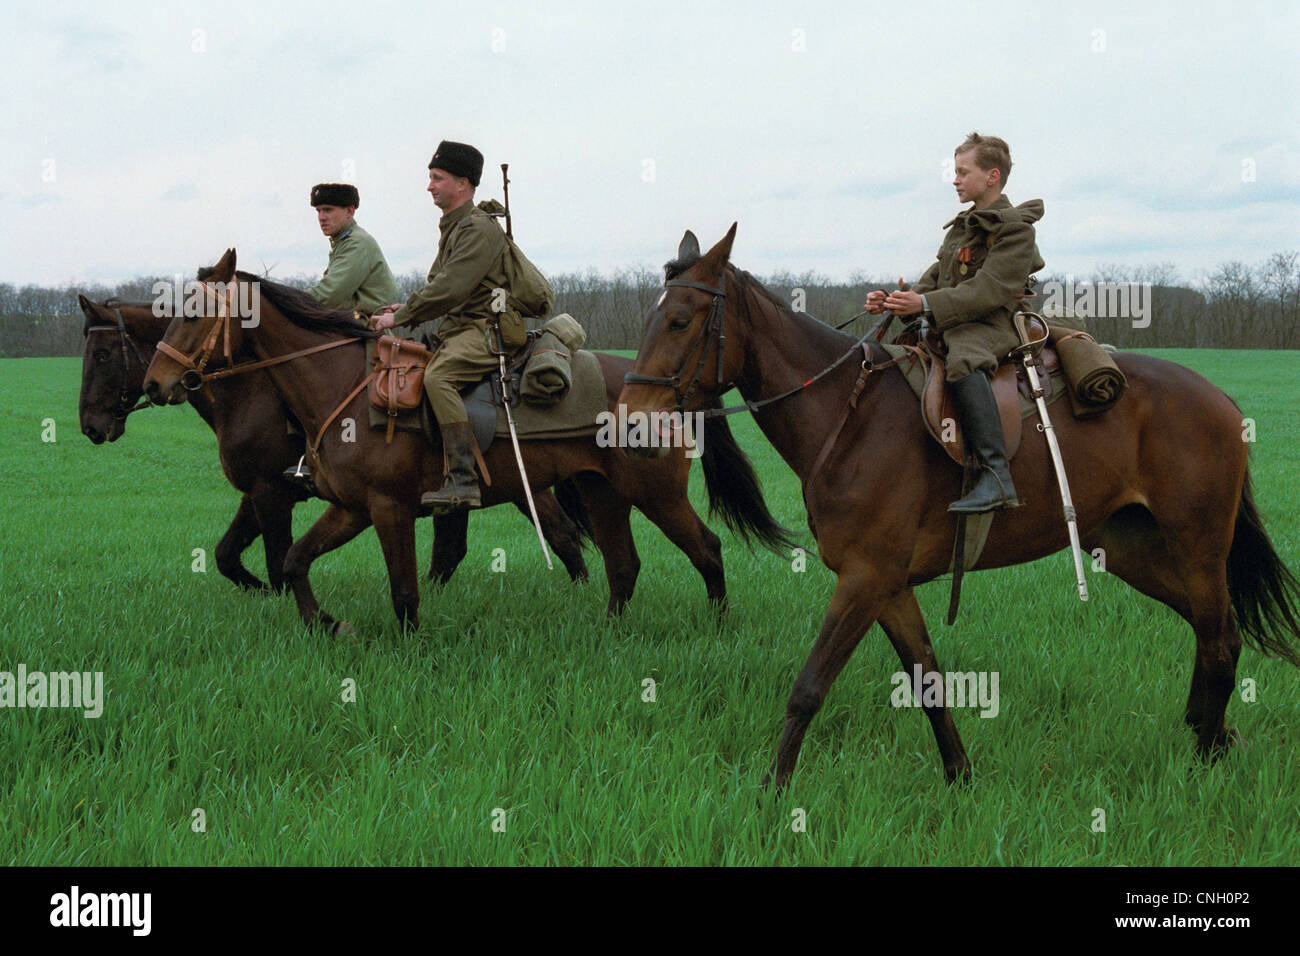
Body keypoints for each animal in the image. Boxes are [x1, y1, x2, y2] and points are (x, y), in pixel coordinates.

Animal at [77, 291, 590, 590]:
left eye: (101, 353)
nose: (89, 425)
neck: (246, 390)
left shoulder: (270, 491)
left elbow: (274, 558)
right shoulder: (260, 493)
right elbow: (227, 556)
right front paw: (262, 594)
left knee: (561, 537)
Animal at [144, 251, 790, 632]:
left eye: (195, 313)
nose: (156, 383)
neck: (343, 390)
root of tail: (667, 390)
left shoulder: (385, 509)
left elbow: (404, 590)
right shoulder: (350, 508)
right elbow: (297, 560)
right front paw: (325, 624)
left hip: (657, 495)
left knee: (706, 550)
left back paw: (718, 629)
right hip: (602, 493)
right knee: (622, 565)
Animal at [616, 226, 1300, 790]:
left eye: (681, 321)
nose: (629, 422)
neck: (848, 416)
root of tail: (1223, 402)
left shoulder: (864, 580)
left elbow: (809, 687)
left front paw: (771, 791)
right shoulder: (888, 587)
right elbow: (928, 682)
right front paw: (960, 776)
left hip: (1198, 550)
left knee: (1220, 641)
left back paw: (1205, 755)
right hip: (1135, 549)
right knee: (1213, 631)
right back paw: (1208, 735)